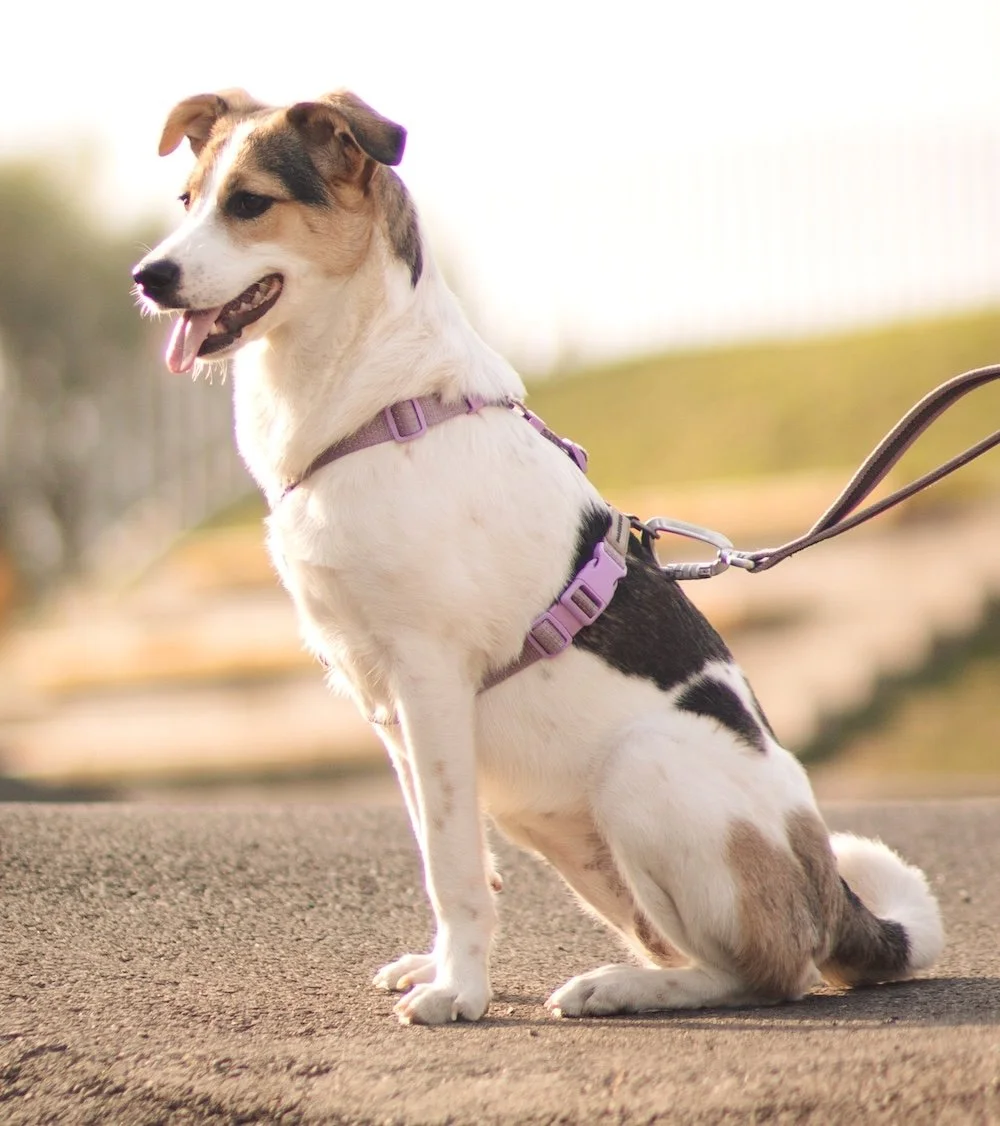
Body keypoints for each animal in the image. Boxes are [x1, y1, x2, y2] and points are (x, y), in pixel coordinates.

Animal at [132, 88, 944, 1025]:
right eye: (187, 199)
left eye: (249, 203)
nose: (146, 277)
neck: (378, 404)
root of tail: (829, 895)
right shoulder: (387, 707)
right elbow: (442, 852)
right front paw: (444, 966)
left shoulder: (428, 679)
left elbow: (453, 866)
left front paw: (460, 991)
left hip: (641, 770)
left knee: (765, 972)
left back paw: (621, 987)